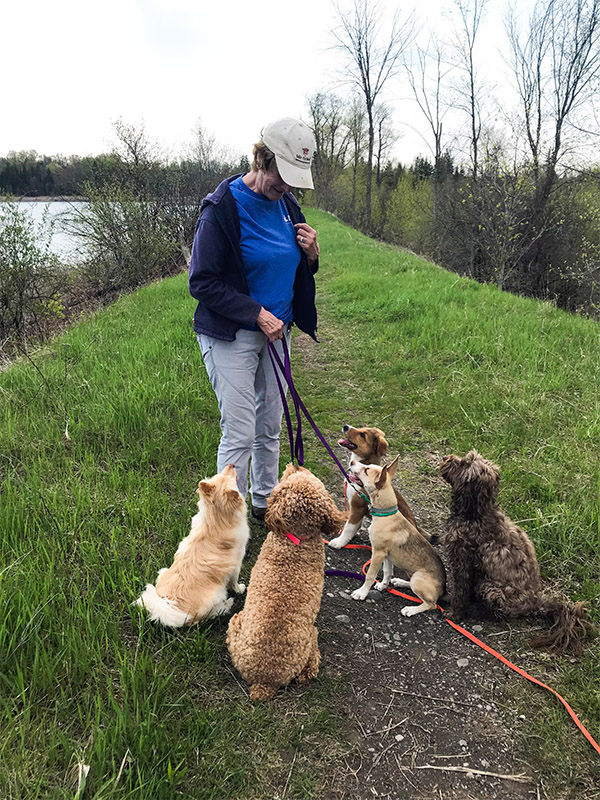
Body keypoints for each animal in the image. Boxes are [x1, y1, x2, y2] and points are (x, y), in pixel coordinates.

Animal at [137, 466, 250, 628]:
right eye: (230, 478)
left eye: (222, 473)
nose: (232, 464)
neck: (216, 519)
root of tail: (170, 608)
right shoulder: (236, 564)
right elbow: (234, 582)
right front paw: (240, 589)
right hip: (216, 594)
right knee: (203, 617)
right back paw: (226, 605)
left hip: (162, 573)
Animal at [226, 462, 346, 700]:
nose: (295, 464)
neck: (295, 540)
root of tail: (263, 683)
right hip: (308, 635)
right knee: (310, 667)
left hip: (237, 625)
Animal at [328, 424, 432, 552]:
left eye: (362, 435)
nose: (345, 426)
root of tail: (417, 529)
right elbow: (355, 525)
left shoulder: (357, 506)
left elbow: (349, 526)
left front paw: (339, 542)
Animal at [346, 454, 446, 616]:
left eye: (366, 470)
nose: (352, 461)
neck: (386, 514)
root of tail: (443, 591)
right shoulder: (387, 555)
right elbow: (387, 572)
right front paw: (383, 585)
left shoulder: (378, 553)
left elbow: (370, 575)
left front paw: (362, 593)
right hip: (414, 576)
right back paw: (400, 582)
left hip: (418, 579)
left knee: (431, 604)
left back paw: (411, 609)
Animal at [438, 450, 592, 656]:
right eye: (467, 457)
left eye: (464, 464)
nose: (446, 457)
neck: (477, 513)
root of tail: (536, 602)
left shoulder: (461, 560)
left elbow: (461, 591)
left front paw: (455, 613)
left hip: (490, 587)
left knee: (497, 613)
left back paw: (476, 610)